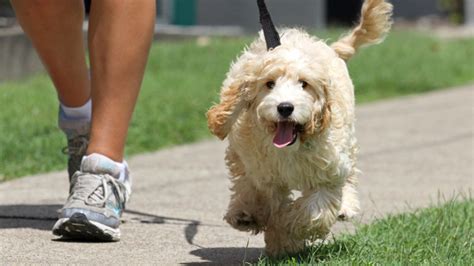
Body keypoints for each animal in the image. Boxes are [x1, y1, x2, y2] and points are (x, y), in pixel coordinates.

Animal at [207, 0, 392, 258]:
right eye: (269, 84)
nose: (285, 107)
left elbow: (314, 211)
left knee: (349, 175)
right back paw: (243, 214)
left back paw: (345, 206)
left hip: (347, 141)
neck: (290, 148)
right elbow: (267, 199)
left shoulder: (327, 172)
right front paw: (278, 238)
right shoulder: (264, 175)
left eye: (304, 84)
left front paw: (287, 231)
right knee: (243, 180)